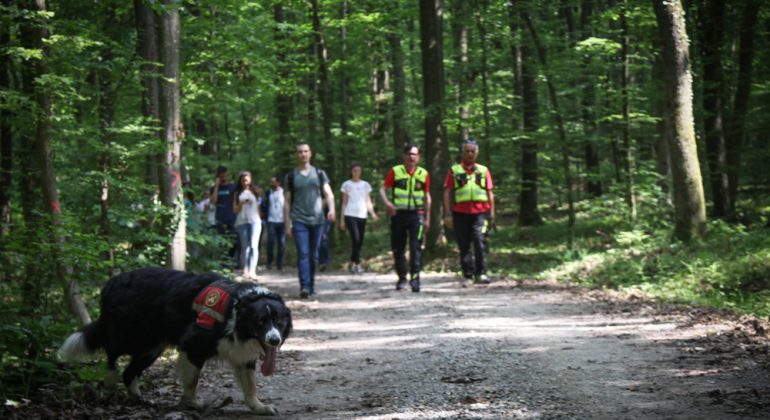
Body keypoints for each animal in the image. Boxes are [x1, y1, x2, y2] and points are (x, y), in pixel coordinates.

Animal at [57, 268, 292, 416]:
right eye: (260, 322)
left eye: (279, 322)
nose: (274, 340)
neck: (235, 311)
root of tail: (112, 283)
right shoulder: (194, 344)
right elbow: (192, 379)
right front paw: (190, 403)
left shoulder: (243, 355)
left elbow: (250, 385)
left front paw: (258, 406)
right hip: (133, 337)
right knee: (112, 351)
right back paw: (110, 379)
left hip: (151, 348)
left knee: (130, 371)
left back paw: (138, 398)